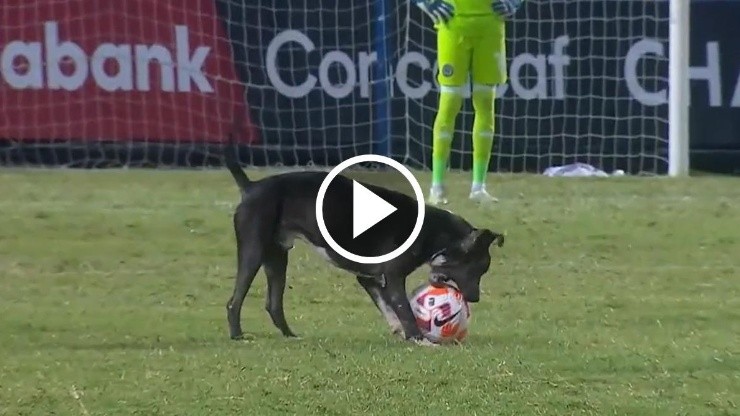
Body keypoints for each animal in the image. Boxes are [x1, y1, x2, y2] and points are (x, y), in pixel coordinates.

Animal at [224, 146, 502, 344]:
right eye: (477, 268)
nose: (475, 298)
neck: (432, 230)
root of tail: (251, 186)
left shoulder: (369, 278)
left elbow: (388, 308)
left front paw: (399, 331)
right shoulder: (393, 278)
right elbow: (404, 310)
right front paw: (418, 338)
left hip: (277, 257)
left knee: (273, 304)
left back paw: (290, 335)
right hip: (253, 251)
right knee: (234, 302)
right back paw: (238, 335)